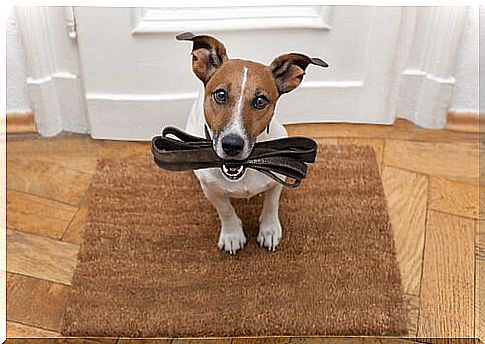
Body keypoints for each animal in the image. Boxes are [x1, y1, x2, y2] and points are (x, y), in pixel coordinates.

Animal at [179, 32, 328, 253]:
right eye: (220, 94)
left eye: (260, 100)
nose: (232, 145)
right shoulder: (211, 190)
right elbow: (225, 210)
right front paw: (232, 234)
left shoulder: (277, 179)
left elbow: (272, 204)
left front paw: (269, 230)